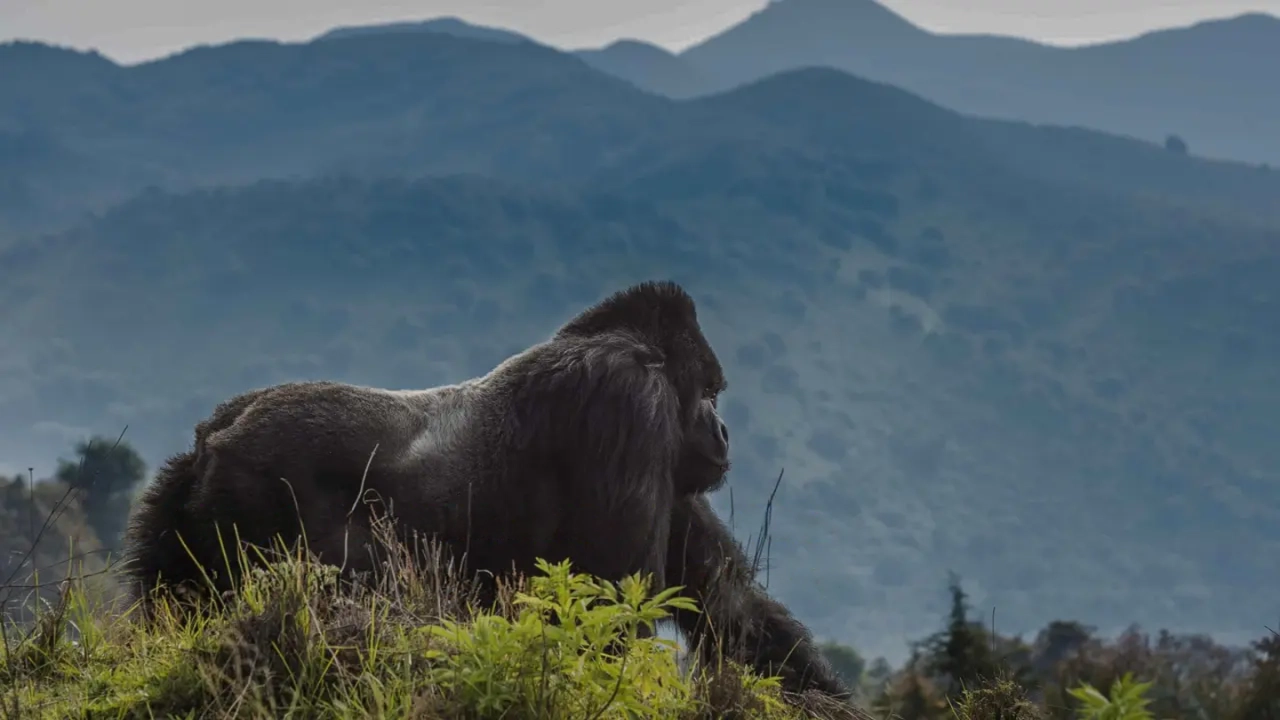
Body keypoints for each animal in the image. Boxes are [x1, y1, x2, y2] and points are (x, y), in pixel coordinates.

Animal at [120, 280, 849, 700]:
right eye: (712, 393)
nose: (723, 431)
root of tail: (212, 434)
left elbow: (730, 607)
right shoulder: (629, 406)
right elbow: (612, 604)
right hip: (254, 488)